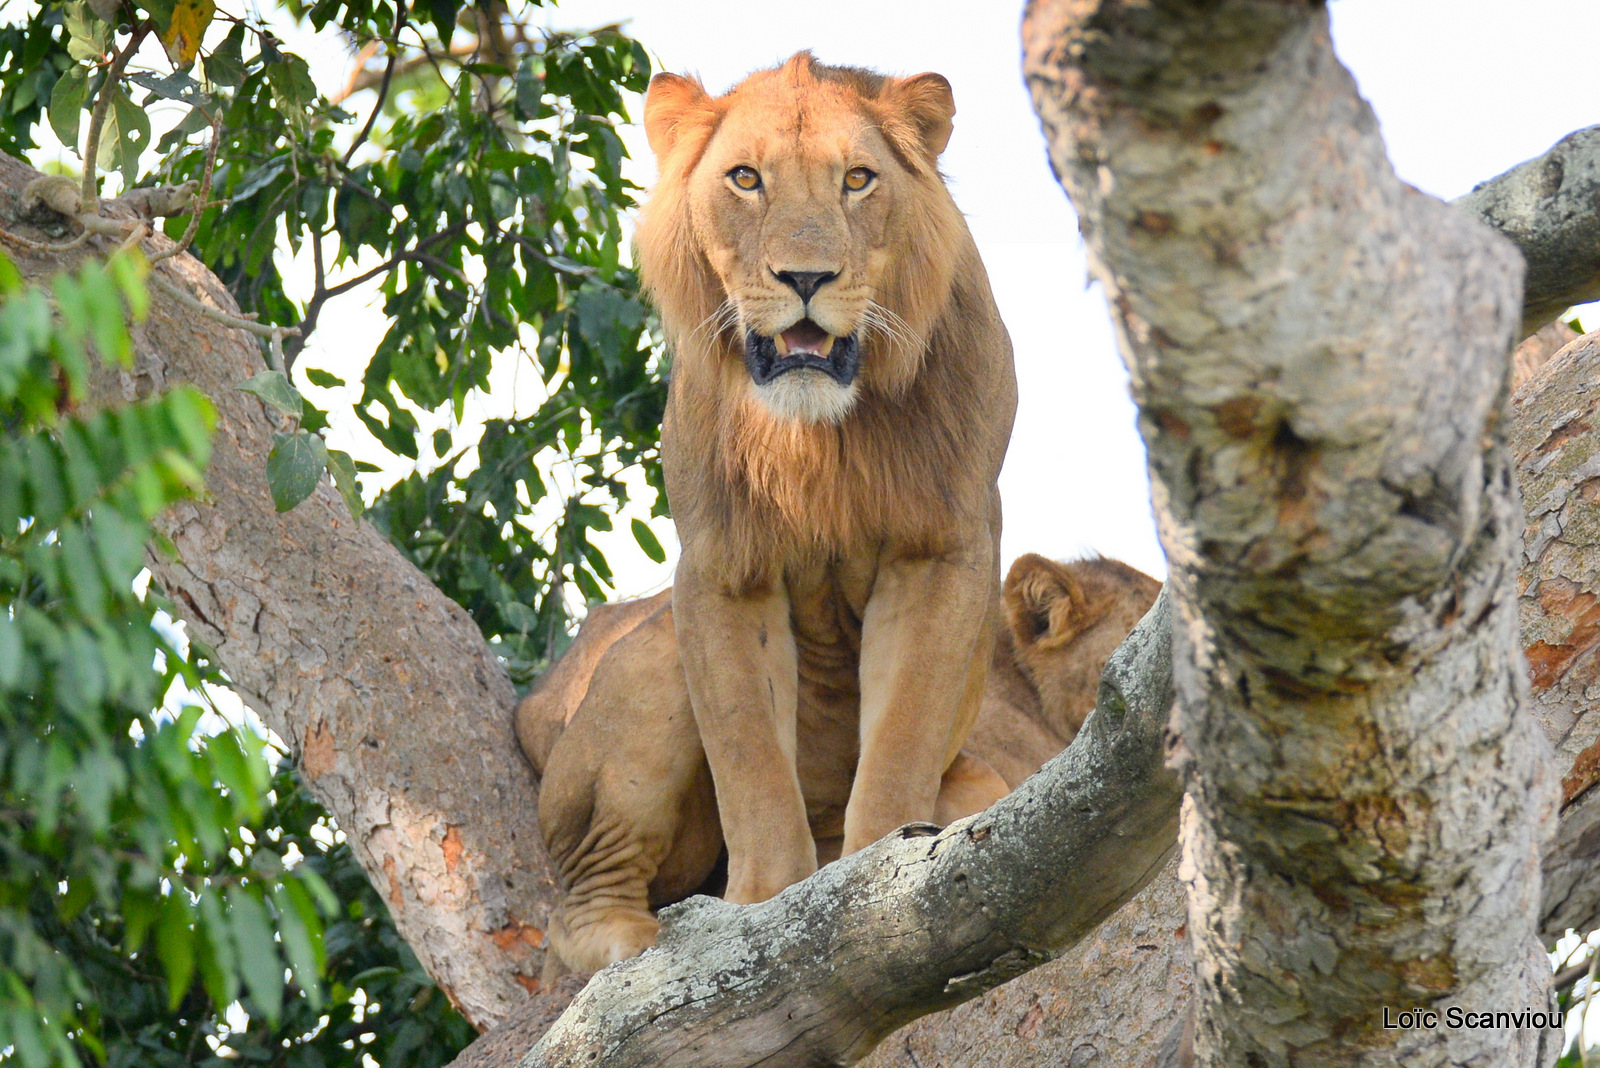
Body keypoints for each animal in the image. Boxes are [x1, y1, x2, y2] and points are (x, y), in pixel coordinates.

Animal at [633, 51, 1017, 908]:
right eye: (746, 178)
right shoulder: (722, 568)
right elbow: (749, 755)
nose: (805, 277)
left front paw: (877, 875)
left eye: (857, 180)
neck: (817, 440)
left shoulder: (936, 551)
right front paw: (762, 901)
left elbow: (904, 730)